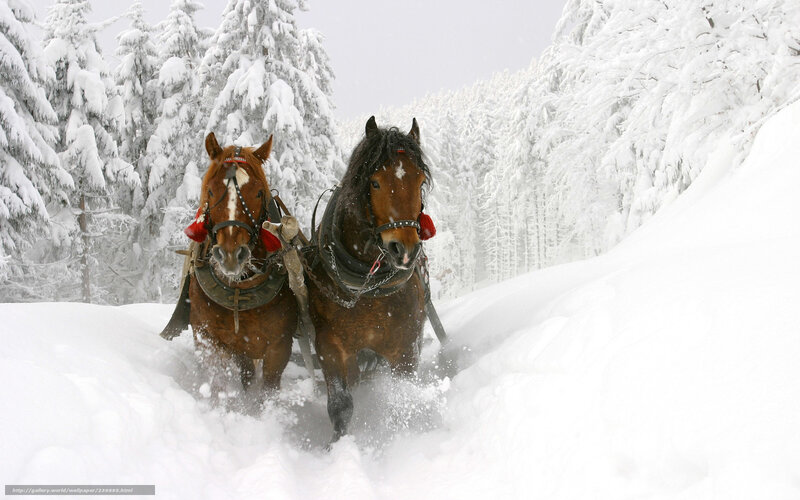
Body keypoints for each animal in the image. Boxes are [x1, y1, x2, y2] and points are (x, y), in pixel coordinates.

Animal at [182, 132, 298, 396]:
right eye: (211, 191)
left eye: (258, 193)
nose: (231, 255)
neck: (239, 290)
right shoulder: (208, 339)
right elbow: (217, 386)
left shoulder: (279, 347)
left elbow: (268, 390)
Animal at [307, 116, 435, 442]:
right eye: (375, 182)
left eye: (420, 181)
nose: (404, 249)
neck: (367, 287)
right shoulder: (330, 345)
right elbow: (341, 406)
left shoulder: (406, 347)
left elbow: (402, 399)